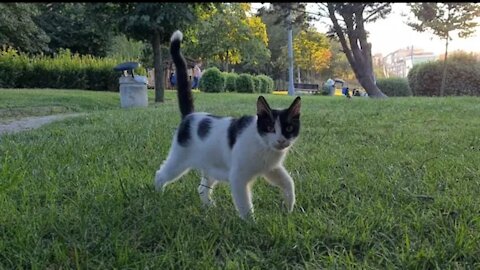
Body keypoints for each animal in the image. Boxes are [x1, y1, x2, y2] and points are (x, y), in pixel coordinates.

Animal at [156, 30, 302, 219]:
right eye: (270, 128)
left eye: (289, 128)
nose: (281, 141)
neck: (263, 145)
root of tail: (190, 115)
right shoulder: (238, 177)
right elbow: (245, 204)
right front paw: (251, 223)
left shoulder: (271, 169)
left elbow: (288, 182)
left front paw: (289, 207)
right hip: (179, 159)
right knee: (161, 174)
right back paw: (157, 195)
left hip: (211, 166)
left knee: (201, 188)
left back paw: (208, 206)